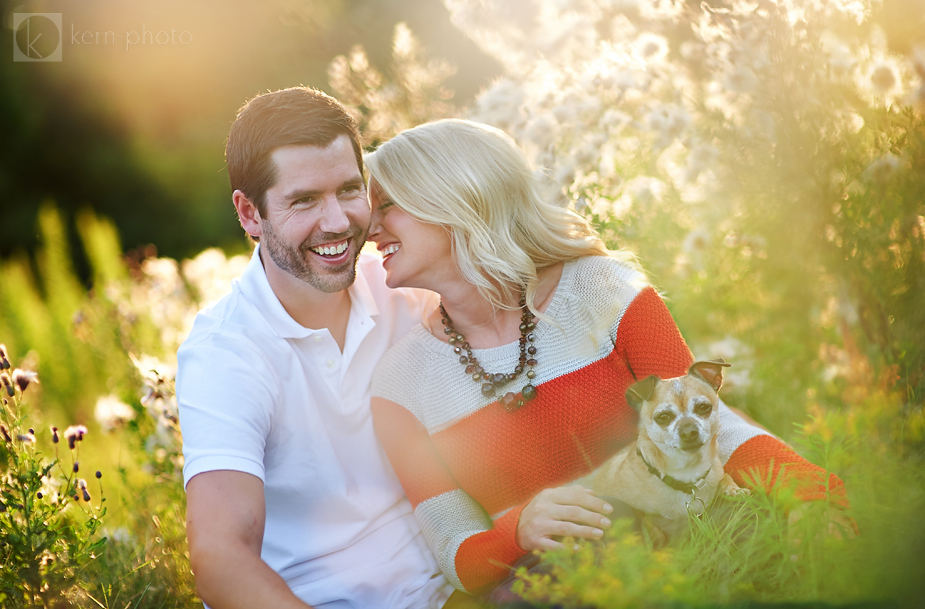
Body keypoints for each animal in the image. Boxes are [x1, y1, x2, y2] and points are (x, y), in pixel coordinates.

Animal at [588, 358, 748, 540]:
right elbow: (646, 521)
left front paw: (733, 489)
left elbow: (725, 478)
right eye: (663, 417)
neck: (688, 471)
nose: (689, 432)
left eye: (703, 407)